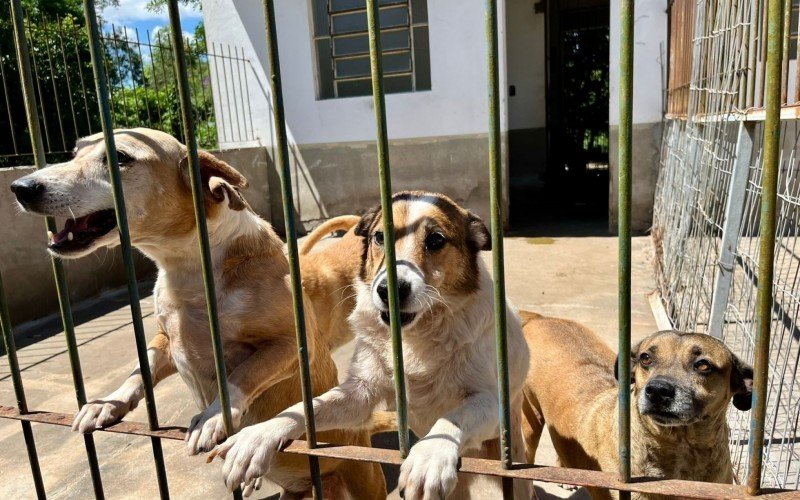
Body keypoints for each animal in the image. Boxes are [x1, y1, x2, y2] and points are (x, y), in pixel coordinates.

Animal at [10, 130, 386, 500]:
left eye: (120, 157)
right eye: (74, 152)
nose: (21, 187)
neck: (188, 268)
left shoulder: (292, 343)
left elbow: (243, 374)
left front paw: (213, 416)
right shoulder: (165, 340)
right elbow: (140, 370)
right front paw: (107, 403)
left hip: (362, 478)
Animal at [208, 190, 532, 496]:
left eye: (436, 240)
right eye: (379, 237)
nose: (389, 291)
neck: (417, 335)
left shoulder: (491, 400)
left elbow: (453, 418)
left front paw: (429, 456)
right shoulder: (359, 395)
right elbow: (304, 408)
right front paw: (257, 436)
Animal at [520, 310, 752, 498]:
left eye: (703, 365)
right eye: (646, 358)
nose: (658, 390)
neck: (681, 447)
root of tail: (541, 319)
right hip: (530, 420)